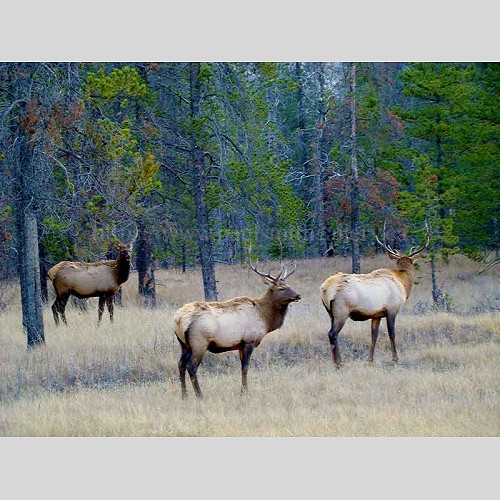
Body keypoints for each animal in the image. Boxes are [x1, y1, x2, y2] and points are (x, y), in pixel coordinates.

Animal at [174, 262, 302, 398]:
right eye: (281, 288)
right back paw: (199, 395)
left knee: (181, 365)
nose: (298, 295)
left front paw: (242, 390)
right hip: (199, 343)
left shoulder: (240, 344)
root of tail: (178, 319)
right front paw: (245, 392)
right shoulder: (249, 340)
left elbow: (242, 368)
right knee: (191, 367)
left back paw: (184, 396)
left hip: (184, 345)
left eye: (289, 285)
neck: (265, 318)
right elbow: (245, 367)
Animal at [320, 227, 430, 368]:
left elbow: (374, 336)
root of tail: (324, 288)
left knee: (332, 334)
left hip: (330, 313)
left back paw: (337, 362)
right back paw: (339, 363)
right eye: (411, 262)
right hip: (341, 311)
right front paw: (395, 358)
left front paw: (370, 359)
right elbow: (392, 333)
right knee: (332, 334)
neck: (403, 284)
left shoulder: (376, 315)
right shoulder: (392, 309)